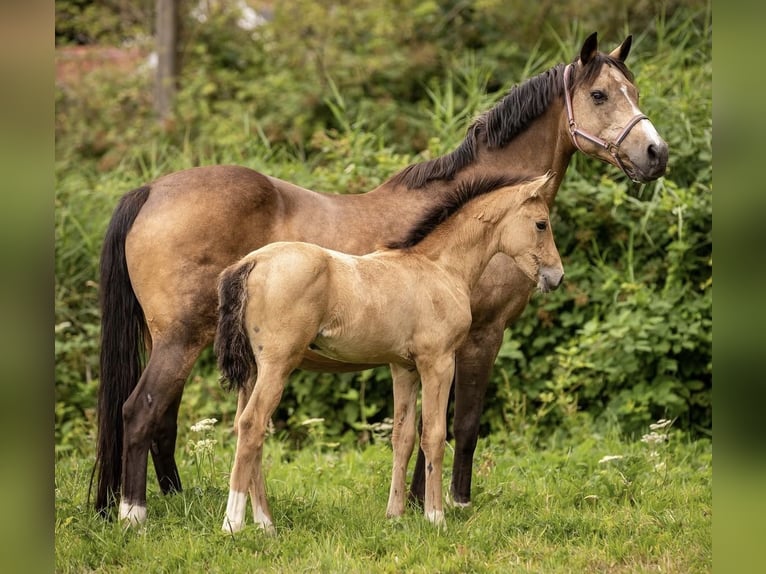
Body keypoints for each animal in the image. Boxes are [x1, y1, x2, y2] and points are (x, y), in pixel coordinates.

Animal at [215, 173, 564, 533]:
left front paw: (395, 514)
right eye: (541, 223)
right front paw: (436, 517)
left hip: (254, 370)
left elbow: (403, 437)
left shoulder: (403, 368)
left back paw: (266, 524)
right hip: (278, 364)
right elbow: (434, 435)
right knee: (253, 424)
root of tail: (251, 261)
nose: (556, 276)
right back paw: (234, 523)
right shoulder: (438, 362)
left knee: (244, 427)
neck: (441, 268)